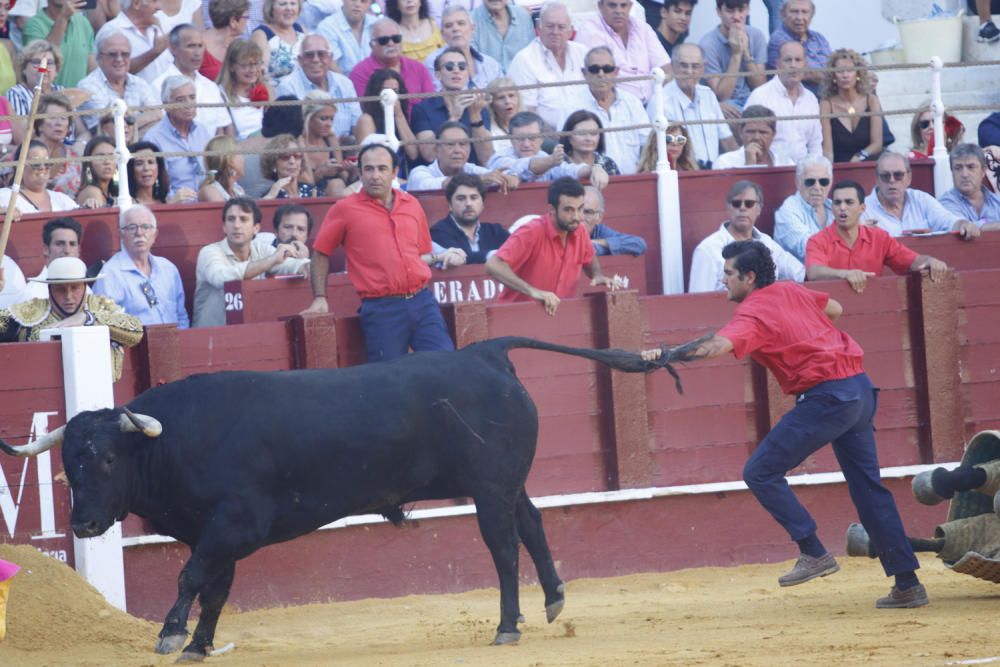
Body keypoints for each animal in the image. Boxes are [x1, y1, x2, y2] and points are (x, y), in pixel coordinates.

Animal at [0, 336, 692, 660]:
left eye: (107, 458)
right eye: (67, 465)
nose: (84, 524)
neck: (175, 440)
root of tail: (486, 352)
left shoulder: (231, 525)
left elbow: (192, 577)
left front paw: (171, 637)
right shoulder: (217, 535)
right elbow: (215, 586)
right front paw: (199, 645)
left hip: (489, 491)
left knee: (502, 548)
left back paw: (507, 626)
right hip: (502, 484)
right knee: (533, 524)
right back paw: (551, 603)